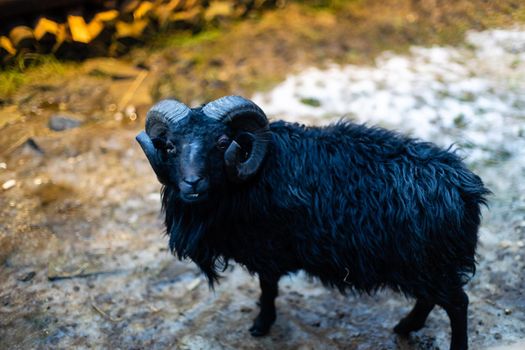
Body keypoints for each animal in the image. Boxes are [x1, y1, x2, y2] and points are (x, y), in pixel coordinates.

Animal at [136, 95, 492, 350]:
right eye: (171, 146)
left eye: (223, 143)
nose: (191, 183)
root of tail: (465, 187)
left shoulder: (267, 248)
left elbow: (268, 288)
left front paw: (261, 325)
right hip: (426, 264)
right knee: (429, 299)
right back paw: (404, 327)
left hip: (428, 262)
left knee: (457, 304)